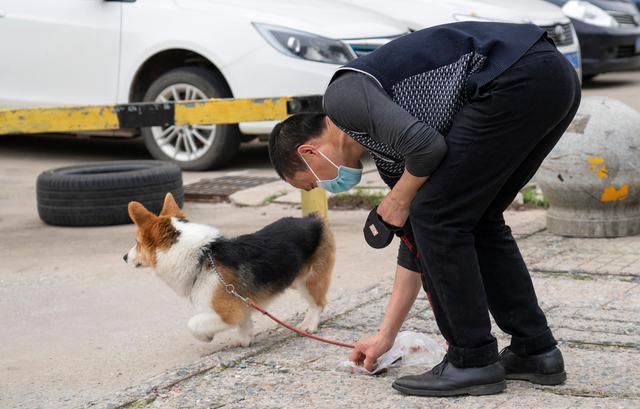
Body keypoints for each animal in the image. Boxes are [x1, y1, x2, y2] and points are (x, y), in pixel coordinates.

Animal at [122, 193, 338, 346]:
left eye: (137, 243)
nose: (124, 257)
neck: (202, 256)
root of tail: (313, 219)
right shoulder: (243, 305)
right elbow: (244, 324)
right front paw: (245, 339)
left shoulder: (228, 314)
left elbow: (193, 324)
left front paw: (206, 337)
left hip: (310, 281)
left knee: (318, 303)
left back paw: (309, 324)